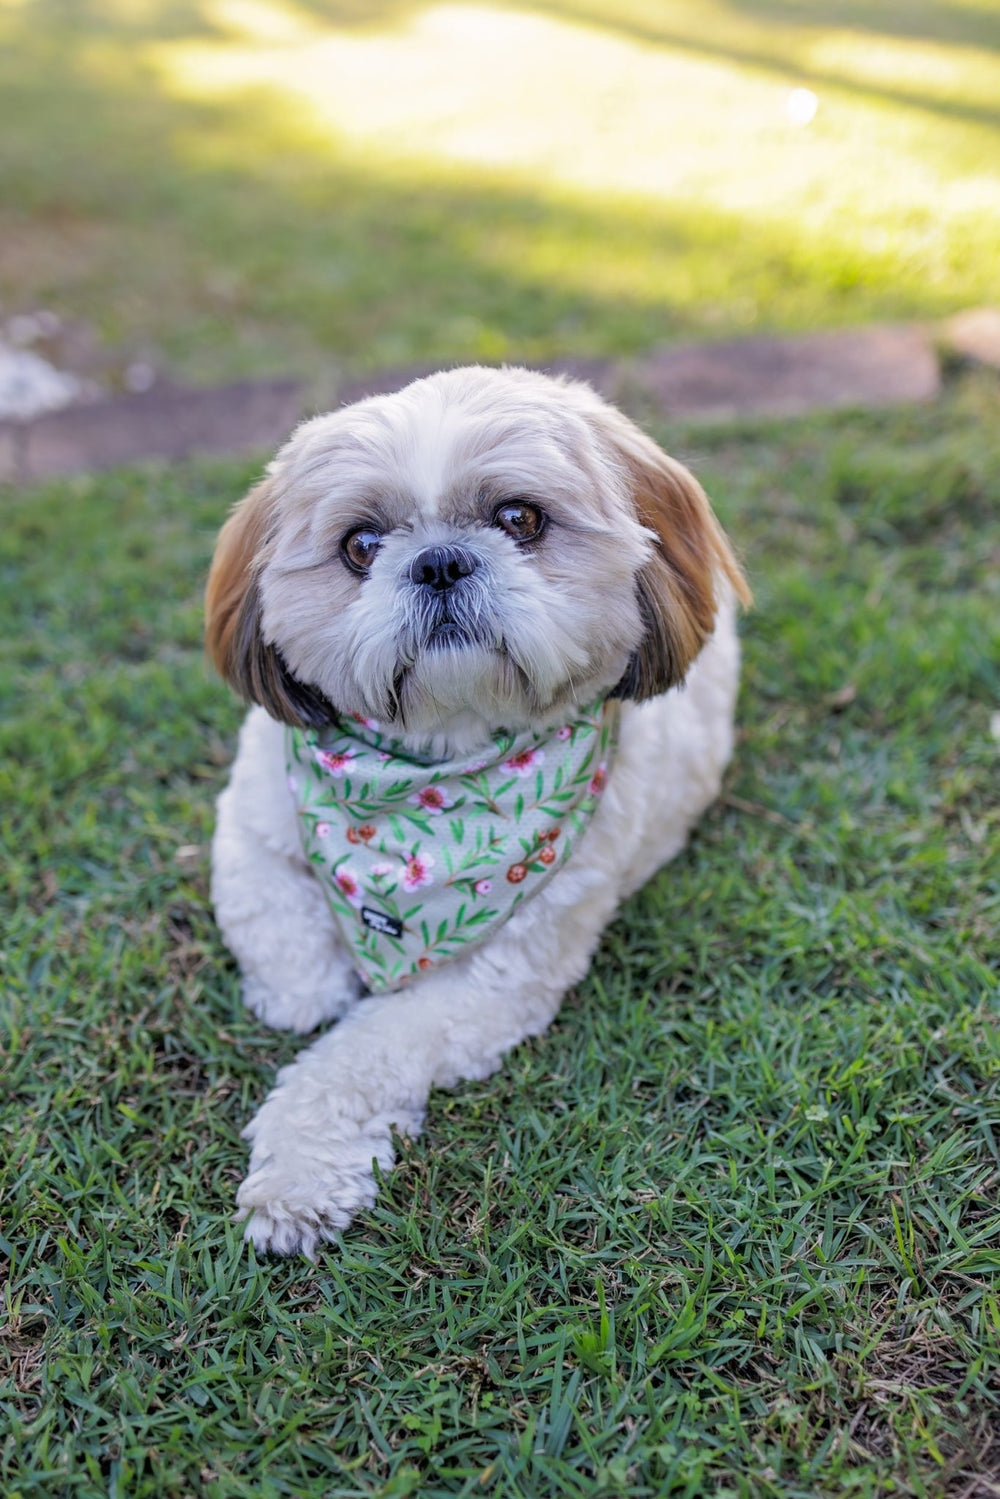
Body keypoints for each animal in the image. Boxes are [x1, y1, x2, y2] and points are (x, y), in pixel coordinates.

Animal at [205, 362, 749, 1253]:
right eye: (361, 545)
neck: (427, 785)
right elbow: (270, 913)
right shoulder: (254, 813)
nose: (438, 562)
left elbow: (362, 1052)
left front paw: (298, 1174)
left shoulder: (495, 981)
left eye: (519, 518)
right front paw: (305, 989)